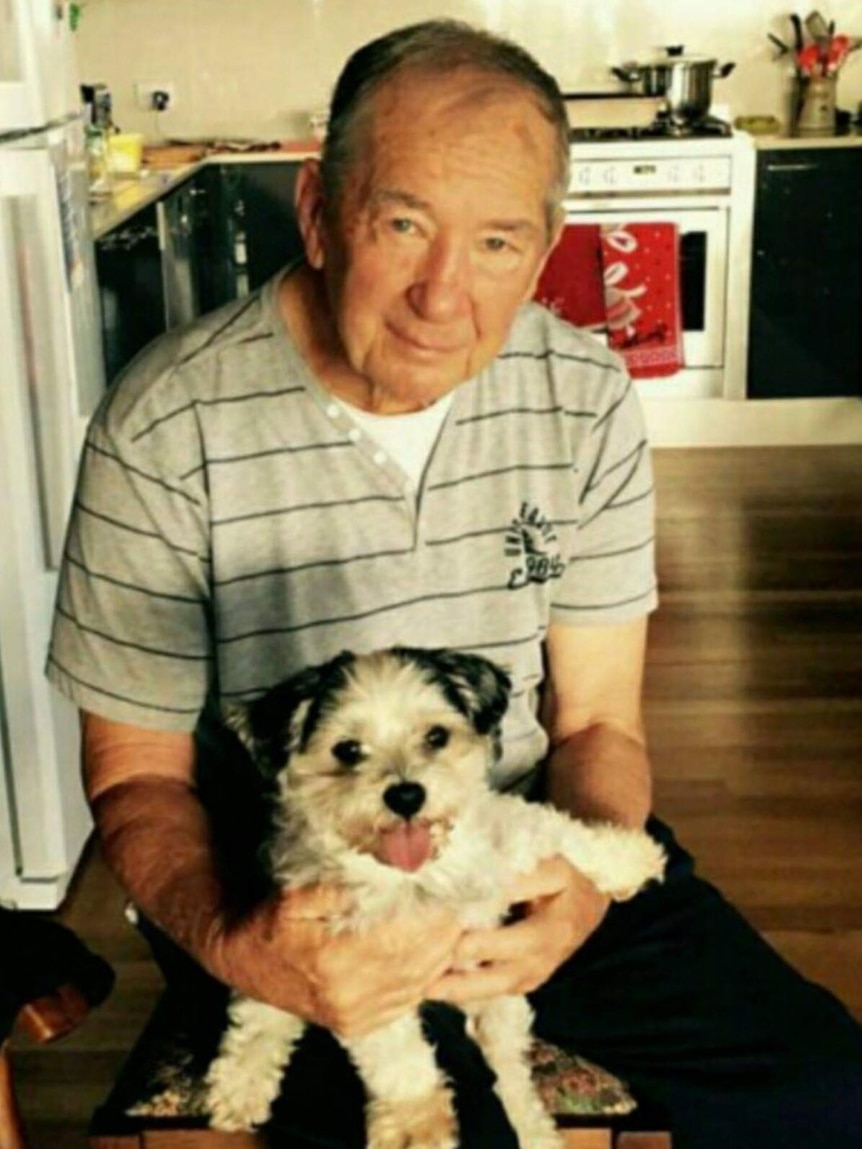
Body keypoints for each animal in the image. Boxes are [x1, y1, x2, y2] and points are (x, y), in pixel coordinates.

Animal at [204, 648, 666, 1149]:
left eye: (436, 736)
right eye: (347, 750)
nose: (406, 794)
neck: (420, 877)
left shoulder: (505, 840)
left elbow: (562, 831)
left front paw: (630, 858)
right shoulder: (361, 975)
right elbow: (397, 1058)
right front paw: (414, 1123)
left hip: (499, 1006)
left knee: (511, 1076)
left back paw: (533, 1130)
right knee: (259, 1018)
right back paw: (239, 1085)